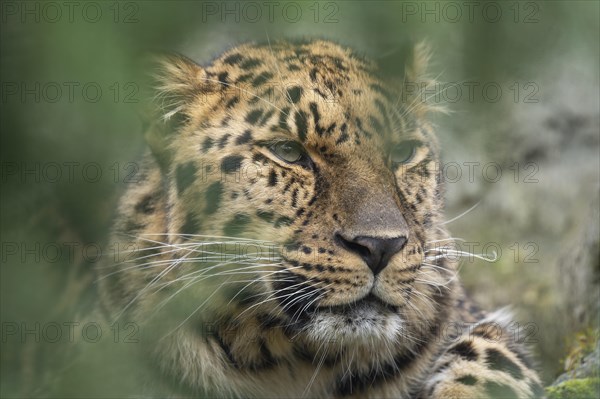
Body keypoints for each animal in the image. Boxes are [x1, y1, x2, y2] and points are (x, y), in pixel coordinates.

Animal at [96, 39, 548, 398]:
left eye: (402, 152)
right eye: (288, 151)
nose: (381, 246)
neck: (289, 361)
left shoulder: (477, 321)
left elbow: (490, 362)